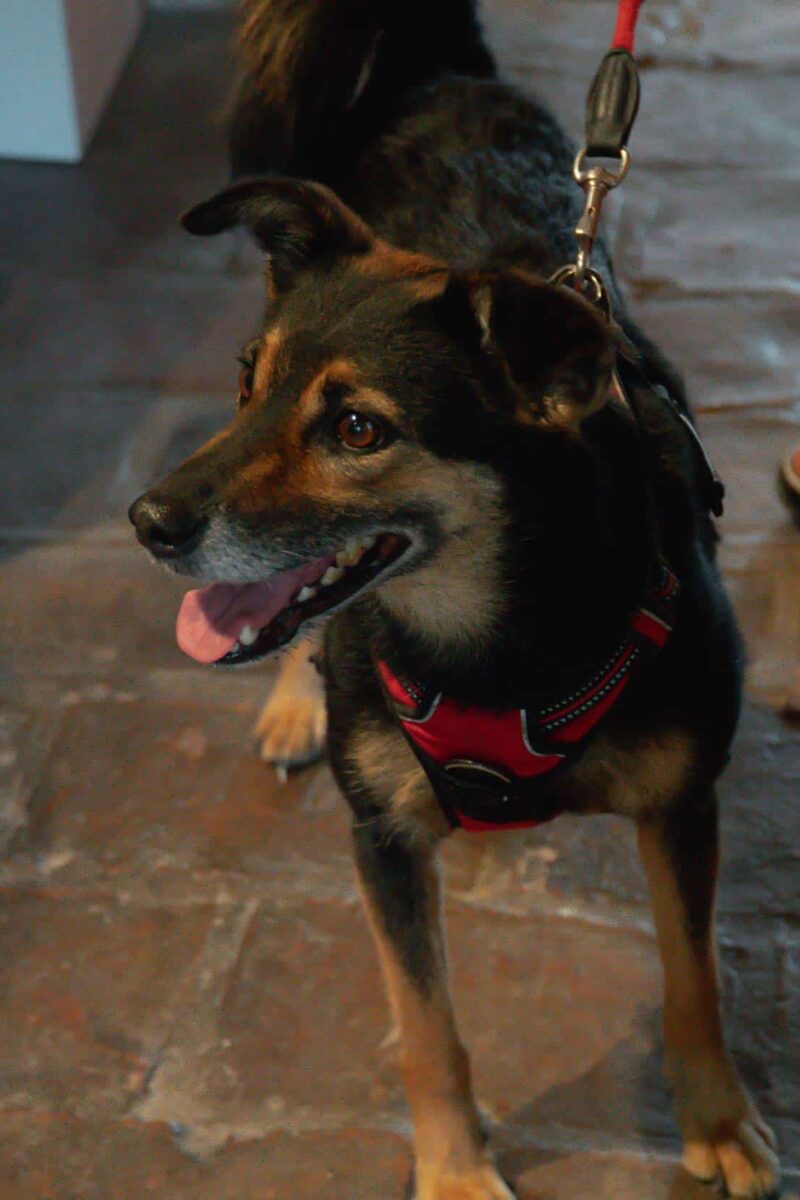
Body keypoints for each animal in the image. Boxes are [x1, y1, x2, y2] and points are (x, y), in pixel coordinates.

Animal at [128, 2, 780, 1196]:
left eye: (357, 429)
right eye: (248, 381)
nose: (145, 522)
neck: (497, 636)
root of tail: (443, 74)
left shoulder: (681, 806)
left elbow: (692, 981)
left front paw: (716, 1124)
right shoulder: (381, 839)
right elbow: (426, 1029)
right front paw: (454, 1170)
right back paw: (293, 703)